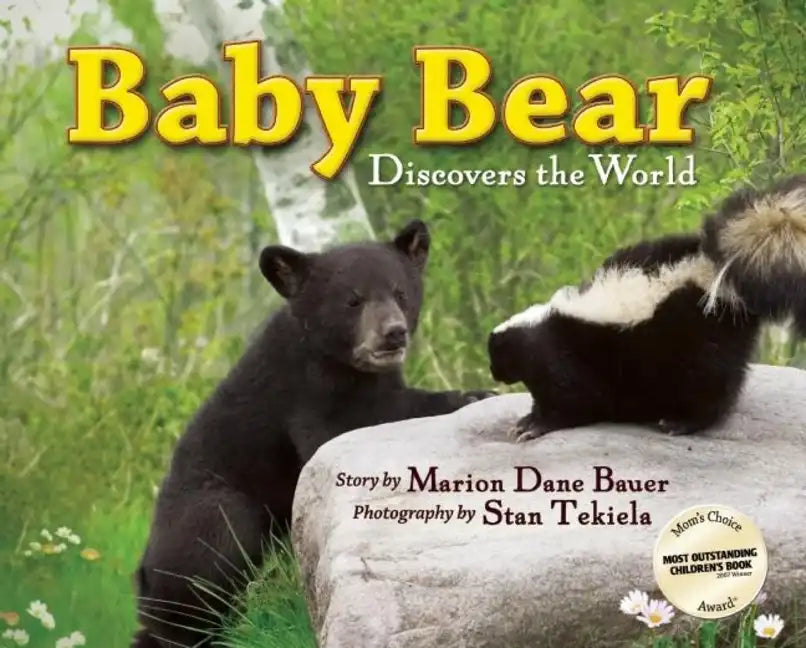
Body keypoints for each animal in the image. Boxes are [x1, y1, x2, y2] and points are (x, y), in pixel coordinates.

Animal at [131, 219, 493, 647]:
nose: (393, 333)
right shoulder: (303, 395)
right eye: (352, 300)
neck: (339, 363)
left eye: (401, 293)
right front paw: (467, 395)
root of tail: (142, 577)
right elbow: (348, 426)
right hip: (205, 519)